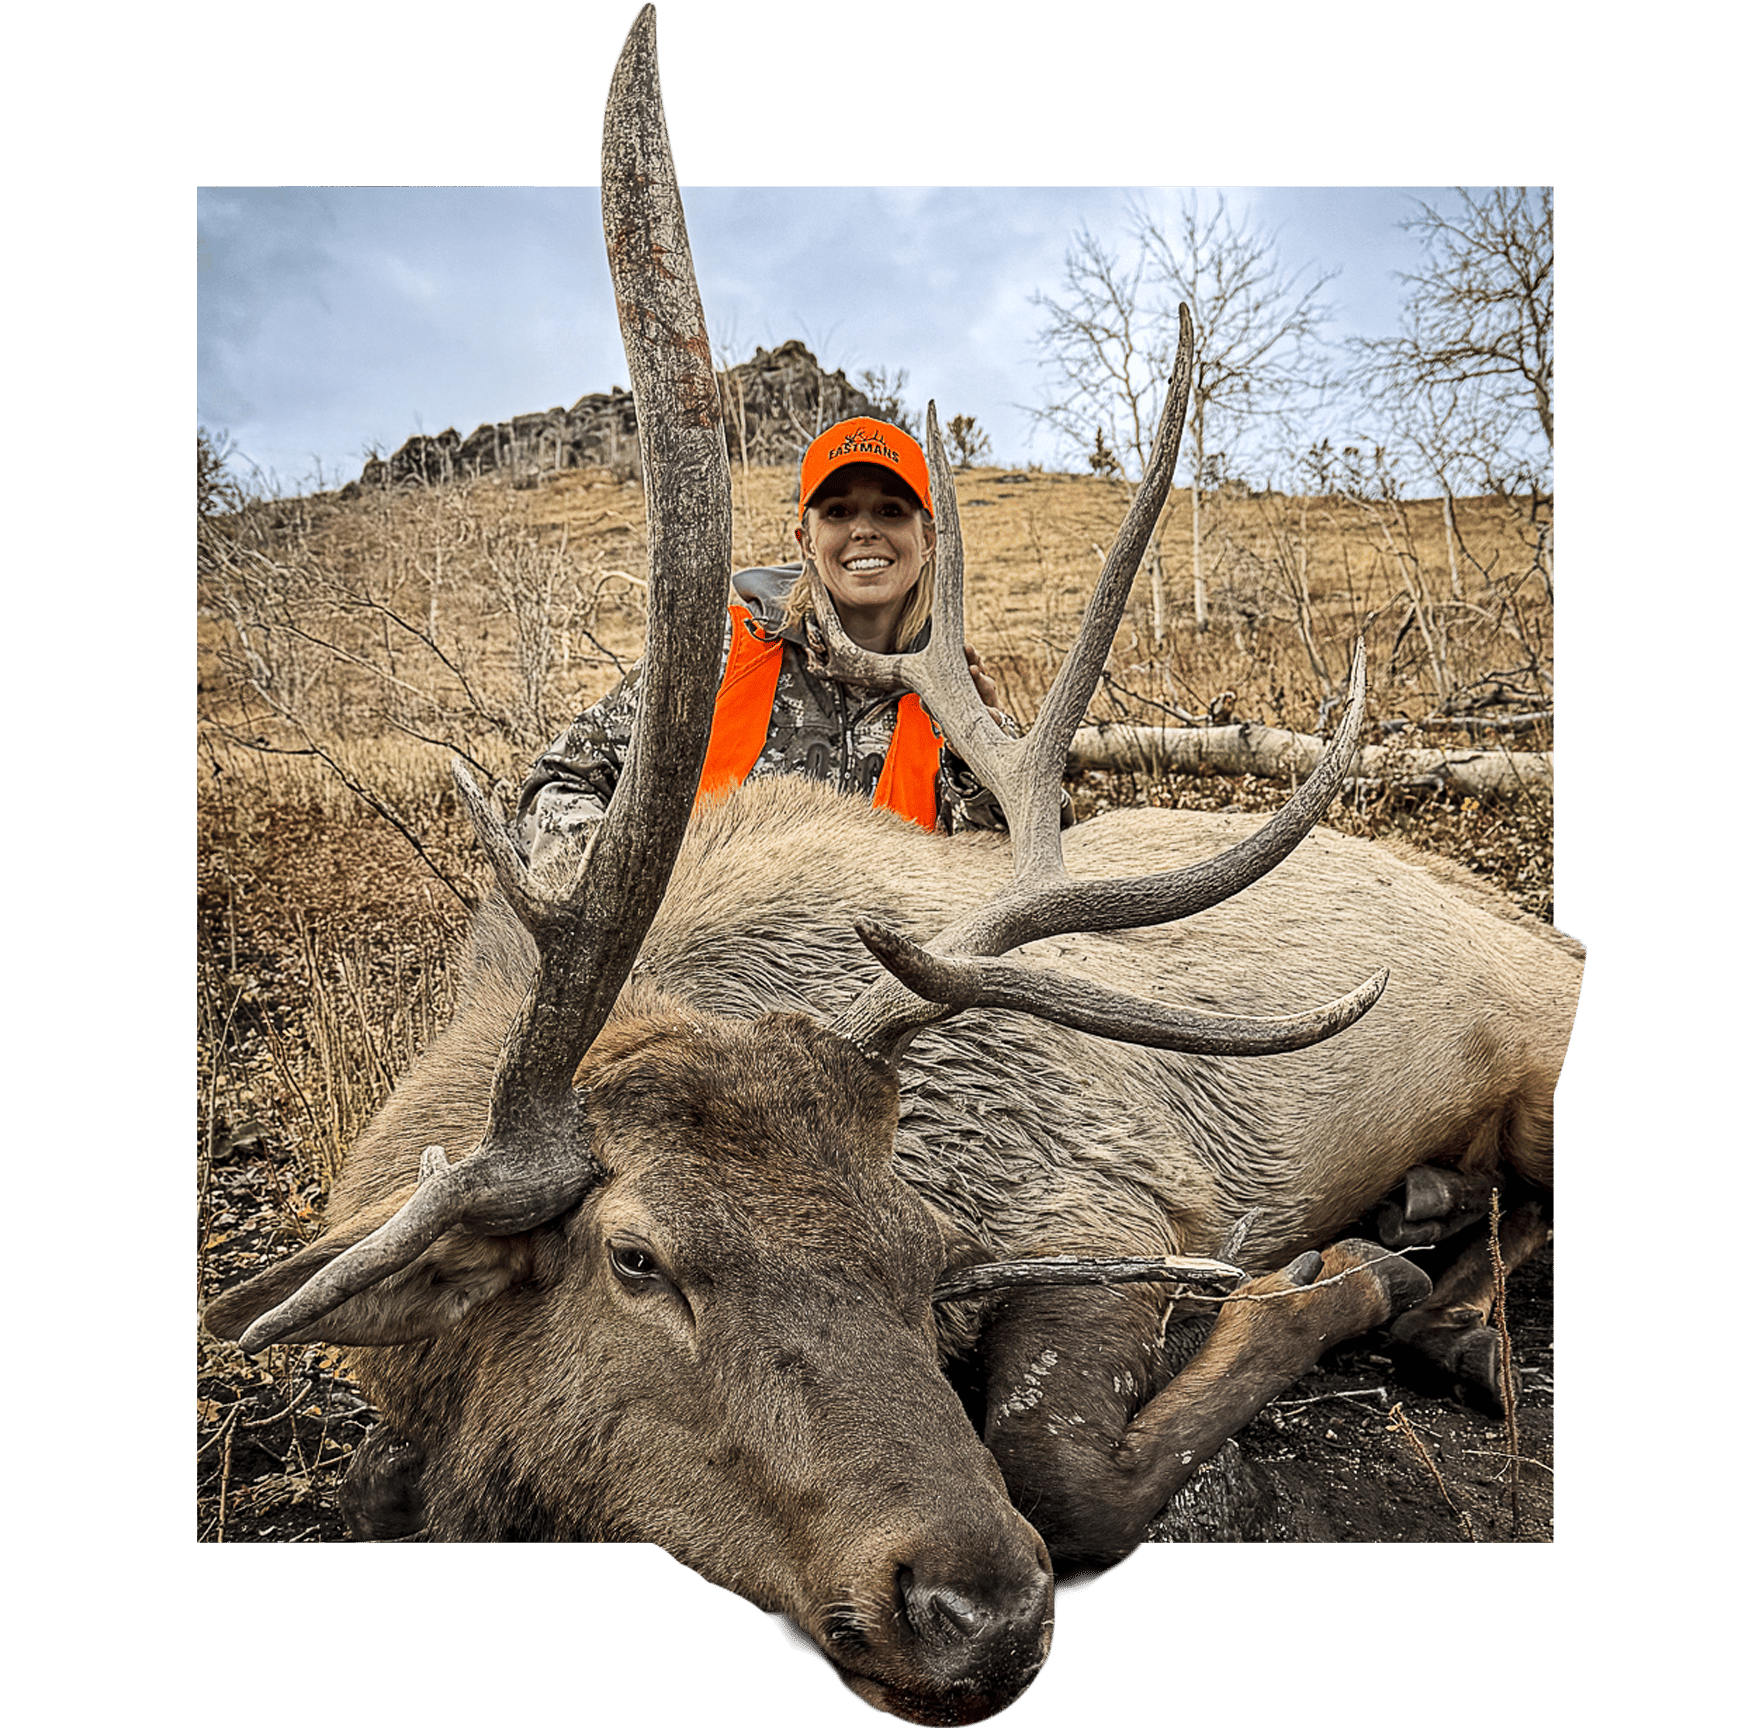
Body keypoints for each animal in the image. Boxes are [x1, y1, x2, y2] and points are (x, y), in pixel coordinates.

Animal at [204, 9, 1584, 1724]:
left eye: (927, 1257)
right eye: (637, 1259)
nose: (973, 1607)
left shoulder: (1111, 1194)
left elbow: (1061, 1467)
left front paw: (1332, 1288)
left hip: (1550, 1055)